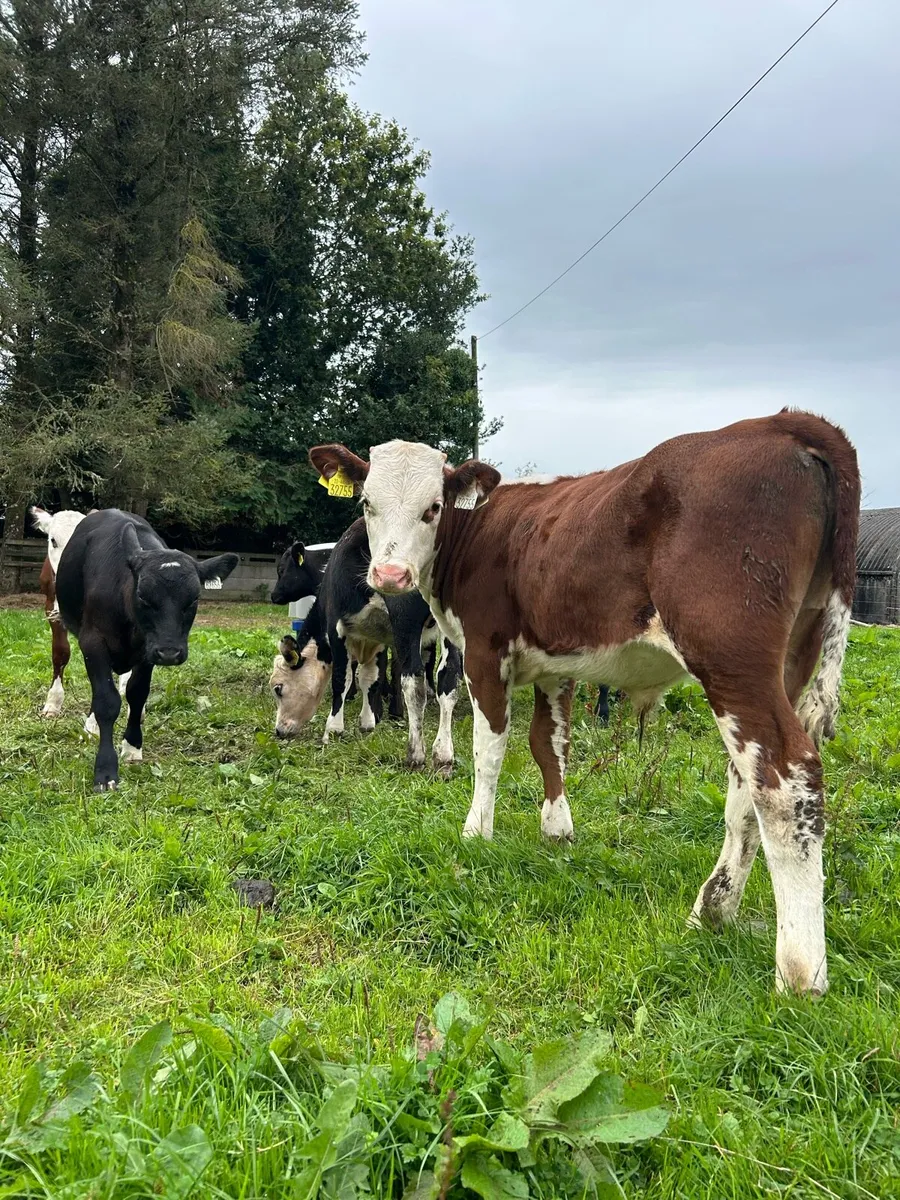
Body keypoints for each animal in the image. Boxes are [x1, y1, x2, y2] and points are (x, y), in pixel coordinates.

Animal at [56, 509, 238, 791]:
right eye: (142, 595)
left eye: (194, 598)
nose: (170, 652)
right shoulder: (93, 642)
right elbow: (107, 700)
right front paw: (105, 771)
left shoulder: (147, 651)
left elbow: (137, 694)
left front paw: (132, 747)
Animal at [268, 516, 462, 776]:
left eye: (278, 688)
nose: (279, 730)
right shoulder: (375, 640)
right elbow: (370, 678)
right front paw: (368, 722)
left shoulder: (337, 629)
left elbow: (342, 679)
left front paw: (333, 729)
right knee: (448, 681)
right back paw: (443, 756)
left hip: (406, 620)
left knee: (414, 682)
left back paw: (415, 755)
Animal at [308, 410, 861, 996]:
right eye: (367, 503)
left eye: (432, 507)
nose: (390, 577)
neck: (478, 532)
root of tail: (788, 423)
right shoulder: (554, 663)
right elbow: (548, 744)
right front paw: (556, 828)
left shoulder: (484, 650)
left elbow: (489, 749)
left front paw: (476, 831)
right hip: (787, 659)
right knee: (748, 786)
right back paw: (712, 910)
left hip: (732, 659)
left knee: (786, 783)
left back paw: (799, 970)